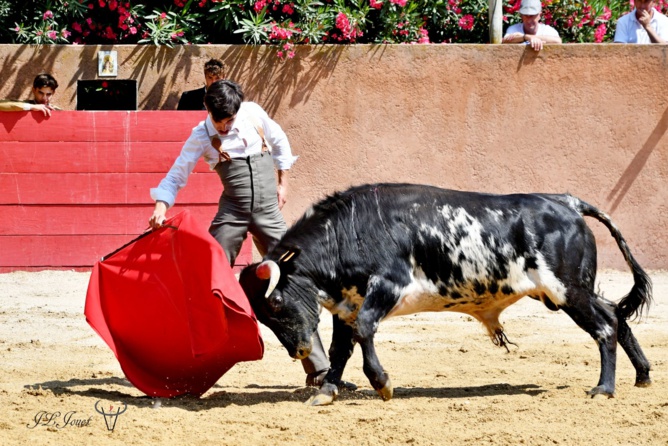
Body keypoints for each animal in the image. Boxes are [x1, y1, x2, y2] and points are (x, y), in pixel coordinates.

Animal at [240, 183, 652, 406]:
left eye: (275, 301)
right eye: (262, 316)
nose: (299, 351)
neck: (349, 231)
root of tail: (566, 201)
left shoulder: (387, 287)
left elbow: (365, 330)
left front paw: (382, 383)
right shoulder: (346, 305)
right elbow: (342, 348)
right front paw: (326, 391)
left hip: (567, 290)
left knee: (605, 327)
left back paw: (605, 388)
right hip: (564, 292)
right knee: (616, 314)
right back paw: (643, 375)